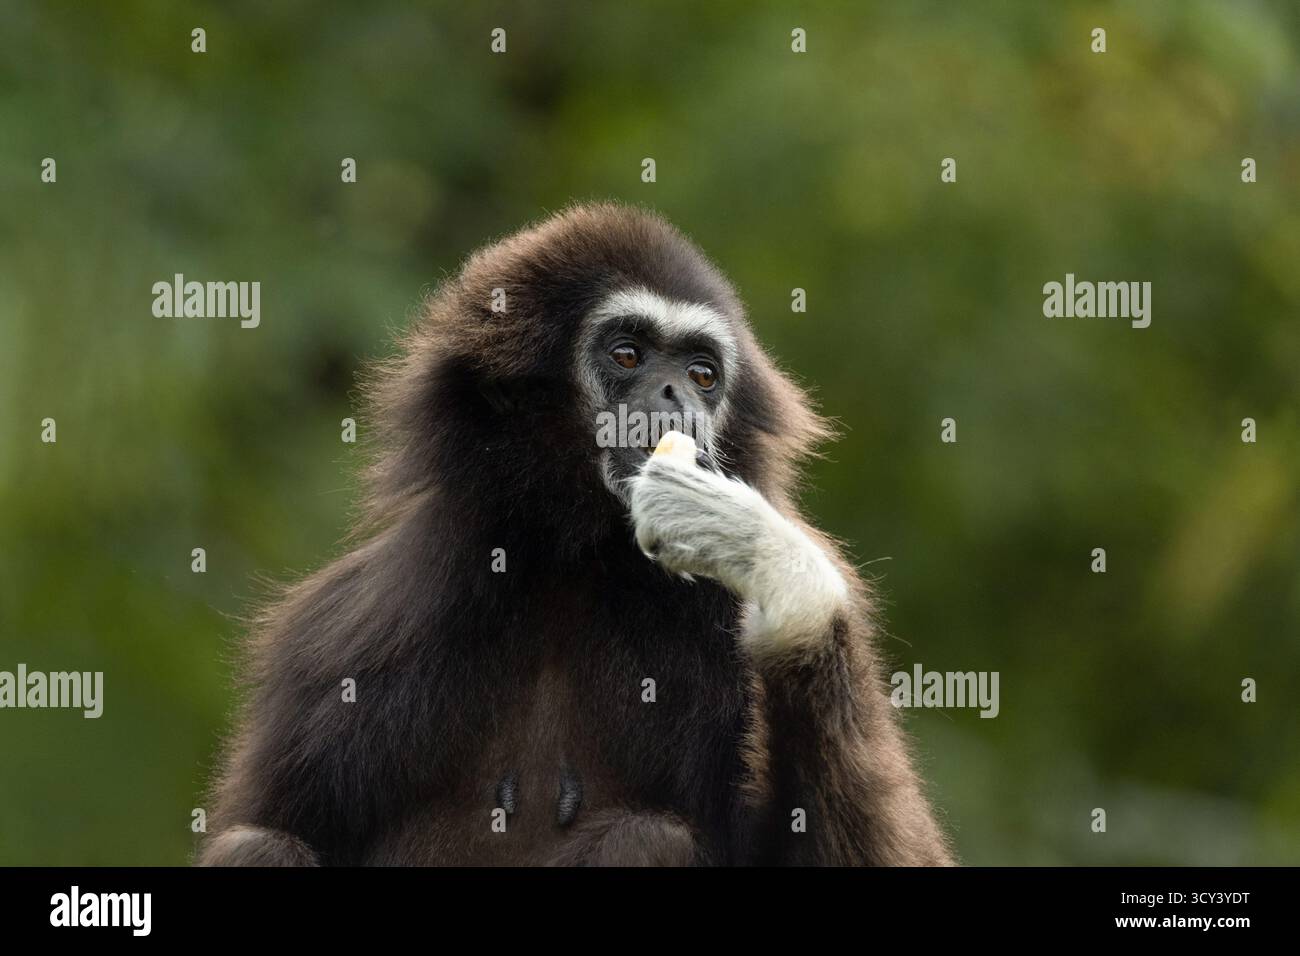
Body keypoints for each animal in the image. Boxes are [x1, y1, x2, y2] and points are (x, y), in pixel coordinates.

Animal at [198, 202, 953, 866]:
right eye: (627, 355)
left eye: (702, 373)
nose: (679, 394)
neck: (573, 561)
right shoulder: (341, 635)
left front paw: (768, 559)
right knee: (258, 846)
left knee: (649, 837)